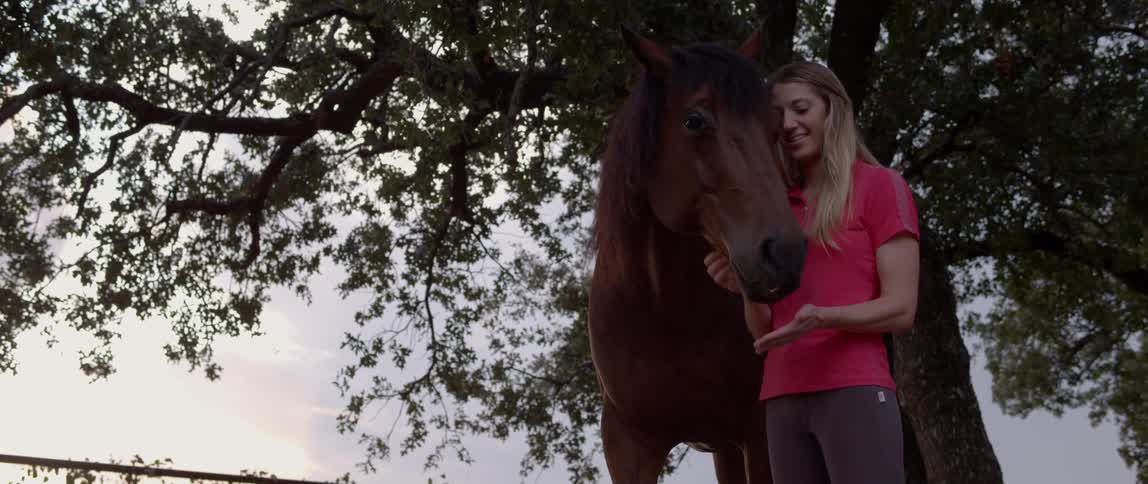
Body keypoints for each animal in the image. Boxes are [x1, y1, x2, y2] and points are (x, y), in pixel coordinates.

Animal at [588, 28, 807, 483]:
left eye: (775, 125)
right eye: (694, 120)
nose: (785, 254)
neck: (668, 311)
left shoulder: (759, 431)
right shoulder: (629, 443)